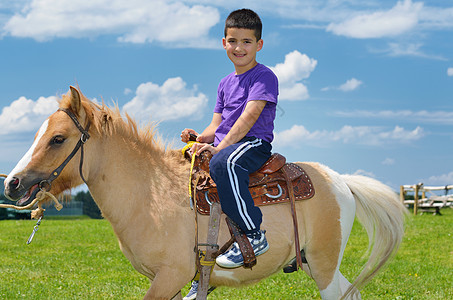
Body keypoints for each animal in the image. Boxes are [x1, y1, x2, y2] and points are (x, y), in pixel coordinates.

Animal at [3, 86, 406, 300]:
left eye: (58, 139)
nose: (12, 183)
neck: (149, 194)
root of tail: (339, 180)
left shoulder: (169, 276)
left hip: (323, 265)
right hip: (315, 263)